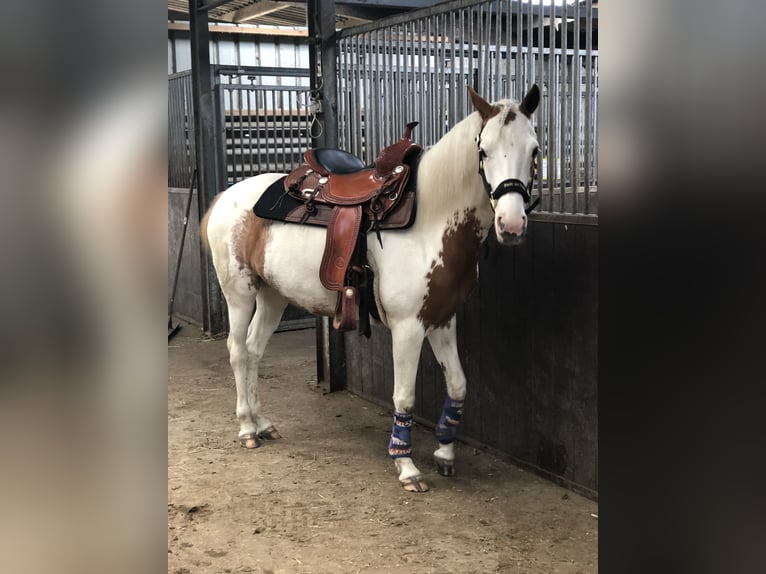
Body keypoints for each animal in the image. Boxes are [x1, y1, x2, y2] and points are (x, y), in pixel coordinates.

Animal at [201, 85, 544, 496]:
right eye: (484, 150)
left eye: (535, 150)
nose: (511, 225)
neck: (430, 221)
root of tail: (227, 196)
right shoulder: (408, 328)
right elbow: (405, 396)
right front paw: (406, 465)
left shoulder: (442, 319)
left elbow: (459, 384)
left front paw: (445, 453)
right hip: (239, 293)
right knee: (238, 351)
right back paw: (247, 429)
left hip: (273, 295)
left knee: (253, 350)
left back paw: (263, 423)